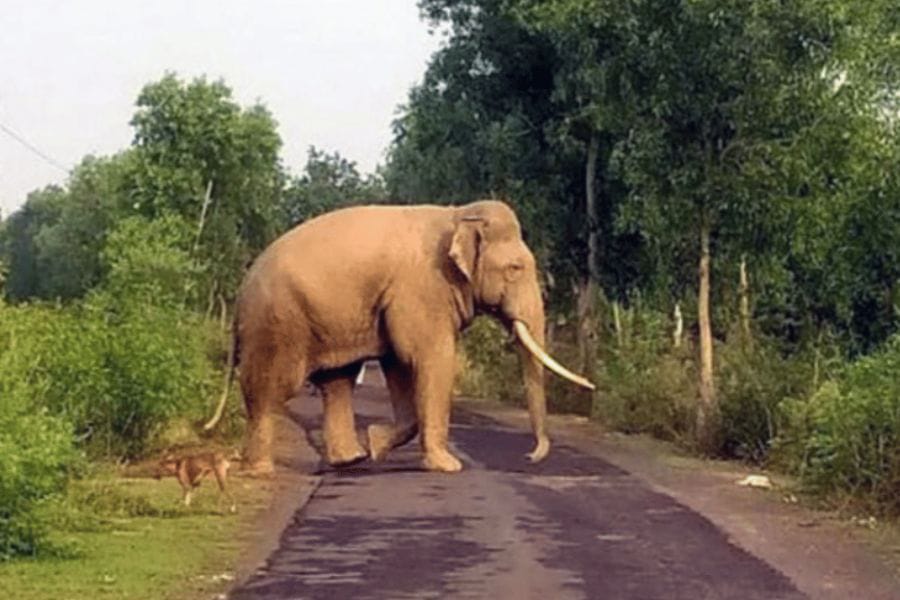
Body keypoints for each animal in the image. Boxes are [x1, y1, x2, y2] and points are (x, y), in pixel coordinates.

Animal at [211, 200, 594, 475]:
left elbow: (397, 362)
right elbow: (430, 358)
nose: (530, 457)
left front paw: (376, 443)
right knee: (271, 388)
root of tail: (241, 291)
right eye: (515, 268)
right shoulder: (423, 288)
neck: (458, 215)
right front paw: (448, 467)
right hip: (277, 323)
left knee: (337, 381)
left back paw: (351, 459)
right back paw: (260, 471)